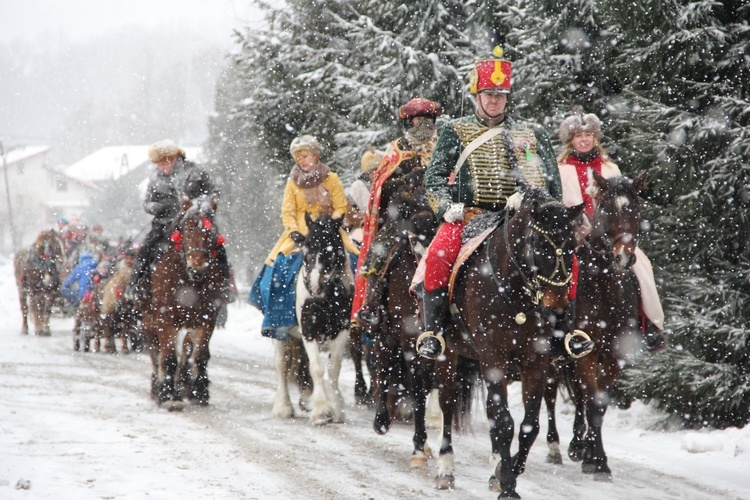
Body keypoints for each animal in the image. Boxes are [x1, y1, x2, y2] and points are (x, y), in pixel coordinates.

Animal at [140, 193, 223, 408]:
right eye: (188, 227)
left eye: (212, 231)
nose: (197, 268)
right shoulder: (164, 318)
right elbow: (168, 357)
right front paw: (168, 396)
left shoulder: (207, 318)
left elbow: (200, 356)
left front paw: (199, 392)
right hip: (148, 319)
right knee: (156, 353)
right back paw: (158, 387)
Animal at [272, 213, 354, 424]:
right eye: (307, 248)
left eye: (331, 249)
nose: (314, 286)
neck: (325, 298)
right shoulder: (309, 330)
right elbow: (316, 367)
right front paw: (322, 411)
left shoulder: (342, 330)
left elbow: (333, 368)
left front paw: (336, 408)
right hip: (279, 333)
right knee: (281, 365)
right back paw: (284, 407)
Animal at [432, 188, 584, 500]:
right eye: (538, 243)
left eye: (573, 247)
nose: (558, 309)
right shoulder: (494, 360)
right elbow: (504, 422)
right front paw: (509, 487)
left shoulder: (536, 363)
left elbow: (529, 425)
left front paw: (506, 471)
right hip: (448, 354)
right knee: (448, 403)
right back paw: (445, 468)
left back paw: (494, 469)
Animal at [544, 172, 648, 480]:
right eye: (607, 208)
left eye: (637, 210)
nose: (623, 257)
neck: (605, 290)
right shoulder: (585, 353)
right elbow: (591, 400)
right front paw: (596, 459)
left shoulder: (615, 356)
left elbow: (598, 403)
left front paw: (595, 456)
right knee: (553, 396)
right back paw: (559, 447)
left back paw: (578, 446)